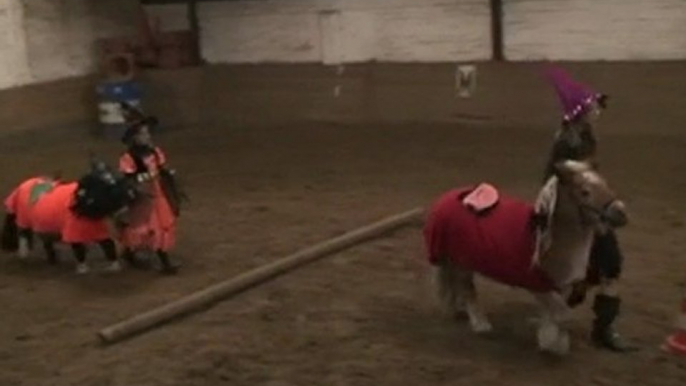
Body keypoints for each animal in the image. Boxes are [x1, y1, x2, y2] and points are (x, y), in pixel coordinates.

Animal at [428, 158, 632, 354]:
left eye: (605, 184)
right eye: (585, 192)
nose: (621, 213)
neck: (548, 241)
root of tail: (443, 200)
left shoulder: (561, 286)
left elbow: (554, 316)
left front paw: (551, 340)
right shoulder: (538, 285)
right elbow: (562, 315)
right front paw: (551, 346)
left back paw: (458, 310)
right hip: (463, 262)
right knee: (467, 288)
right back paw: (480, 324)